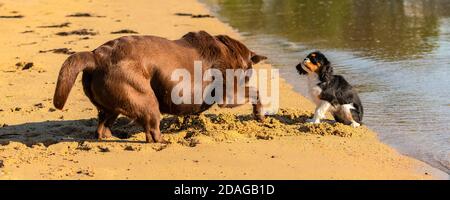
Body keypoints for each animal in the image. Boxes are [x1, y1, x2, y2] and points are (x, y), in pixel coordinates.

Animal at [54, 30, 268, 143]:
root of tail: (96, 57)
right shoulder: (230, 95)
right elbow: (255, 92)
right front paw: (260, 115)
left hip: (114, 104)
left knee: (103, 124)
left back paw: (109, 137)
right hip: (145, 99)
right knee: (152, 129)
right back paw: (164, 141)